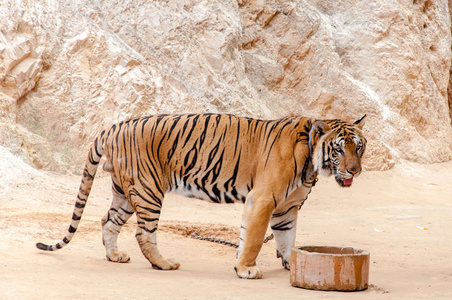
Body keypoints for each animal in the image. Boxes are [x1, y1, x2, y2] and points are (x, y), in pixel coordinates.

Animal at [36, 113, 368, 278]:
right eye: (340, 149)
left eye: (359, 146)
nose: (355, 170)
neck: (312, 162)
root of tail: (111, 128)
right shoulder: (263, 199)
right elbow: (253, 238)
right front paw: (246, 269)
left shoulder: (287, 207)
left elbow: (287, 238)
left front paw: (293, 264)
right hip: (148, 189)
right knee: (144, 234)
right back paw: (164, 264)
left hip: (125, 193)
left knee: (108, 221)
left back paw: (114, 255)